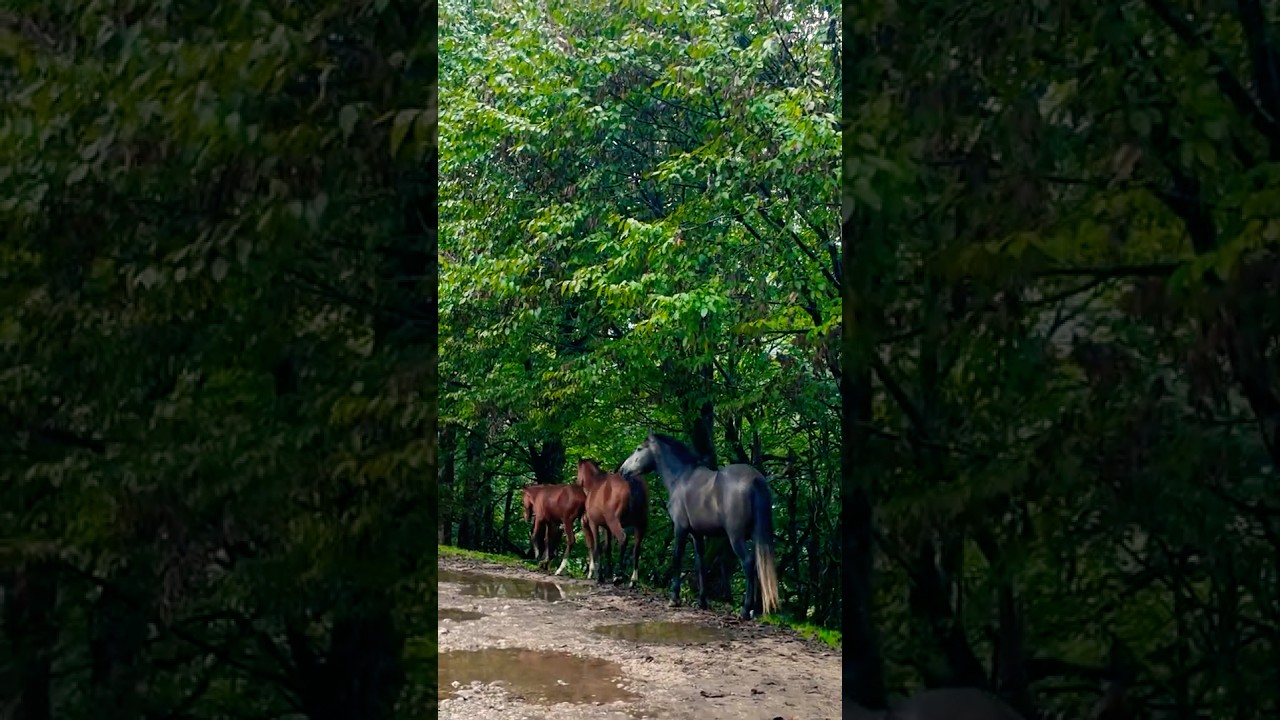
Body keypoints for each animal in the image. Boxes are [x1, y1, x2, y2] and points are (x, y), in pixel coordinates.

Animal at [576, 458, 648, 587]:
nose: (577, 481)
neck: (595, 484)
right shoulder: (606, 527)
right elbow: (607, 547)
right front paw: (608, 573)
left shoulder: (594, 523)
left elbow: (597, 547)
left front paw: (599, 576)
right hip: (640, 524)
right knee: (636, 548)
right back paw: (633, 580)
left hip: (615, 522)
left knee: (623, 539)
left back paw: (618, 576)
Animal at [618, 432, 779, 619]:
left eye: (638, 448)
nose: (622, 470)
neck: (681, 477)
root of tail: (755, 479)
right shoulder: (697, 534)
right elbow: (700, 564)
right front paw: (702, 601)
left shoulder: (680, 529)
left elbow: (677, 557)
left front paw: (674, 598)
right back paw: (754, 610)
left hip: (736, 537)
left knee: (748, 563)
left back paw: (745, 610)